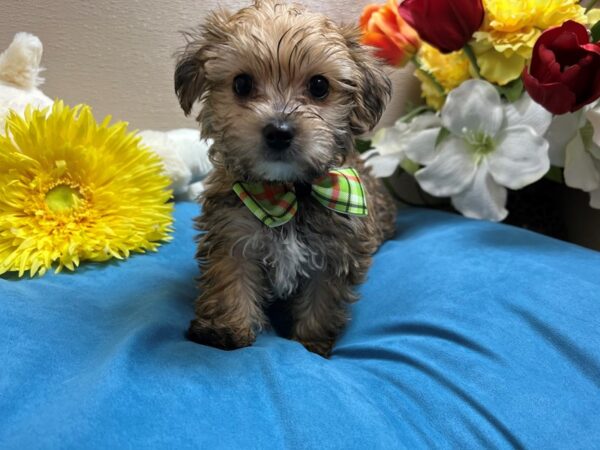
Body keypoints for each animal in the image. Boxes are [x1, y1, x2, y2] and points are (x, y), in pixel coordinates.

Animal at [175, 0, 398, 358]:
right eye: (242, 84)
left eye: (319, 86)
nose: (279, 131)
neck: (288, 191)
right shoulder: (231, 232)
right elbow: (231, 280)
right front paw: (226, 330)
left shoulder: (336, 252)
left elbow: (322, 302)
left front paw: (311, 343)